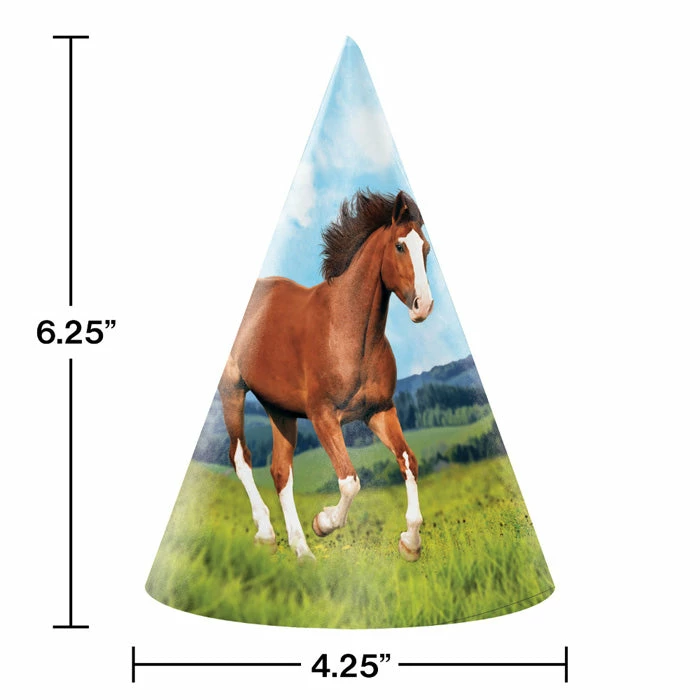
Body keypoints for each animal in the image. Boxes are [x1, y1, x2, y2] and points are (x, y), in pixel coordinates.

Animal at [218, 190, 434, 561]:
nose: (424, 306)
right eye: (399, 246)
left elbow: (409, 461)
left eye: (426, 249)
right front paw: (324, 522)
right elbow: (350, 481)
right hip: (232, 389)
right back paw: (267, 535)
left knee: (280, 471)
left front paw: (410, 542)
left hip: (280, 410)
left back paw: (302, 552)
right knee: (241, 459)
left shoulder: (379, 411)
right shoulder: (323, 417)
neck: (347, 332)